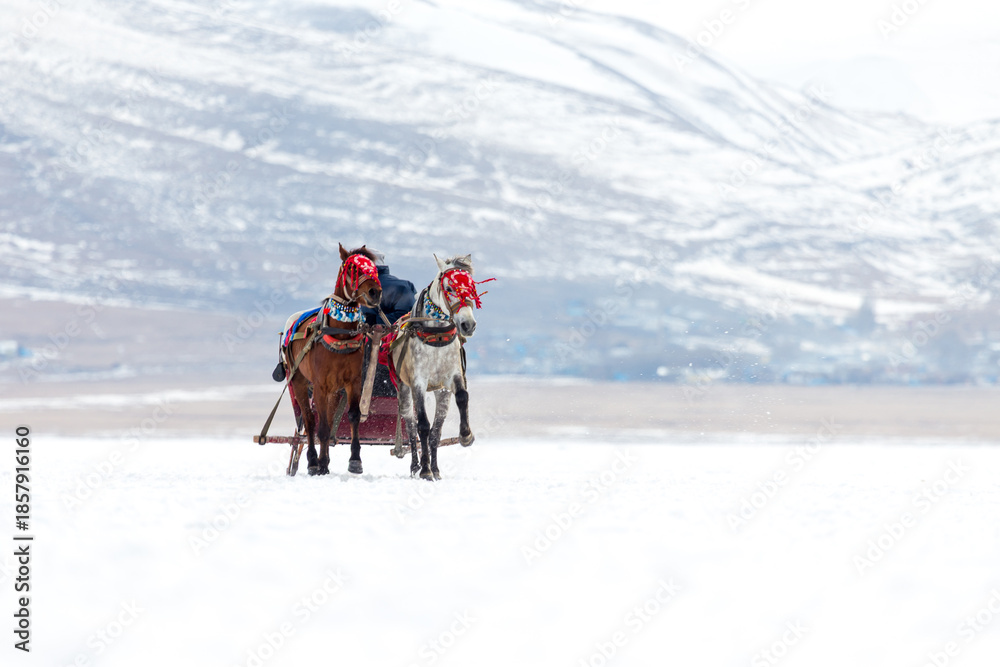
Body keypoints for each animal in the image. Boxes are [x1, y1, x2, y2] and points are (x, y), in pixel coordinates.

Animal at [282, 245, 382, 476]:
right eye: (353, 268)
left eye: (374, 268)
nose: (375, 292)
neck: (340, 334)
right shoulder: (319, 385)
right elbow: (321, 426)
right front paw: (317, 464)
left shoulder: (353, 382)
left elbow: (353, 416)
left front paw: (355, 460)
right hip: (299, 380)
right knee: (310, 420)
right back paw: (313, 461)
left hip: (334, 391)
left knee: (326, 419)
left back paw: (324, 461)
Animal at [389, 254, 484, 480]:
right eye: (449, 288)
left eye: (472, 288)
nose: (468, 325)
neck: (436, 336)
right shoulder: (418, 383)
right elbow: (422, 426)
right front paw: (424, 469)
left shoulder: (452, 378)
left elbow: (461, 399)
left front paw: (466, 435)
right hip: (404, 389)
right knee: (411, 425)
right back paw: (416, 466)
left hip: (441, 392)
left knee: (435, 431)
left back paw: (435, 468)